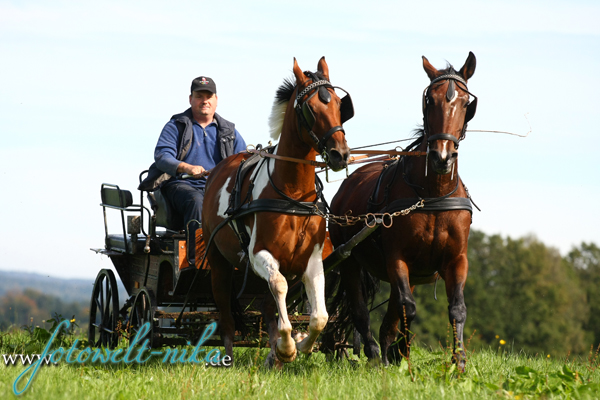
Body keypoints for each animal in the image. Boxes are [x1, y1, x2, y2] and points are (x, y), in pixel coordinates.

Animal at [202, 57, 352, 368]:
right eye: (311, 108)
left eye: (338, 105)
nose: (340, 154)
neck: (293, 195)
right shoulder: (259, 254)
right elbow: (279, 286)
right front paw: (286, 345)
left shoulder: (311, 260)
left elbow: (319, 317)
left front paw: (298, 344)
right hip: (219, 264)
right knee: (226, 315)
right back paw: (231, 356)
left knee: (268, 305)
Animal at [326, 51, 476, 370]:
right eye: (429, 100)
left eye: (465, 102)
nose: (442, 156)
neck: (432, 195)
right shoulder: (397, 257)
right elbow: (408, 307)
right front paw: (396, 353)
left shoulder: (456, 259)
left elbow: (456, 308)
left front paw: (458, 362)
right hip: (349, 259)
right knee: (361, 310)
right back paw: (374, 352)